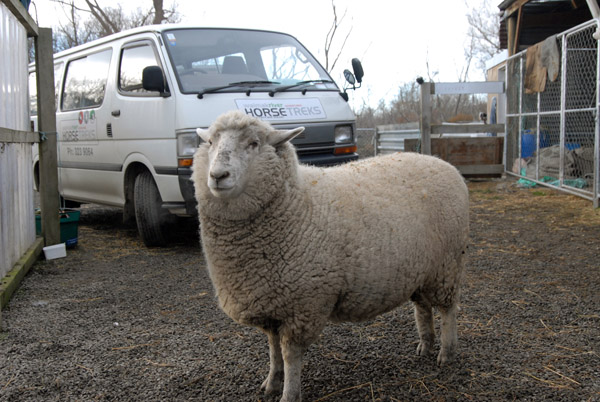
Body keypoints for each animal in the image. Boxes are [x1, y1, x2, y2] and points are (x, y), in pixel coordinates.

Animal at [192, 110, 468, 402]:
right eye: (209, 142)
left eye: (254, 143)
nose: (218, 175)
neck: (295, 202)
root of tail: (444, 164)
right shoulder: (271, 304)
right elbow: (273, 348)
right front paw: (272, 381)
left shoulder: (304, 305)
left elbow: (290, 355)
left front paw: (289, 393)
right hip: (420, 270)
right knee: (423, 307)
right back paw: (425, 345)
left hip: (447, 265)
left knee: (448, 309)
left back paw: (446, 352)